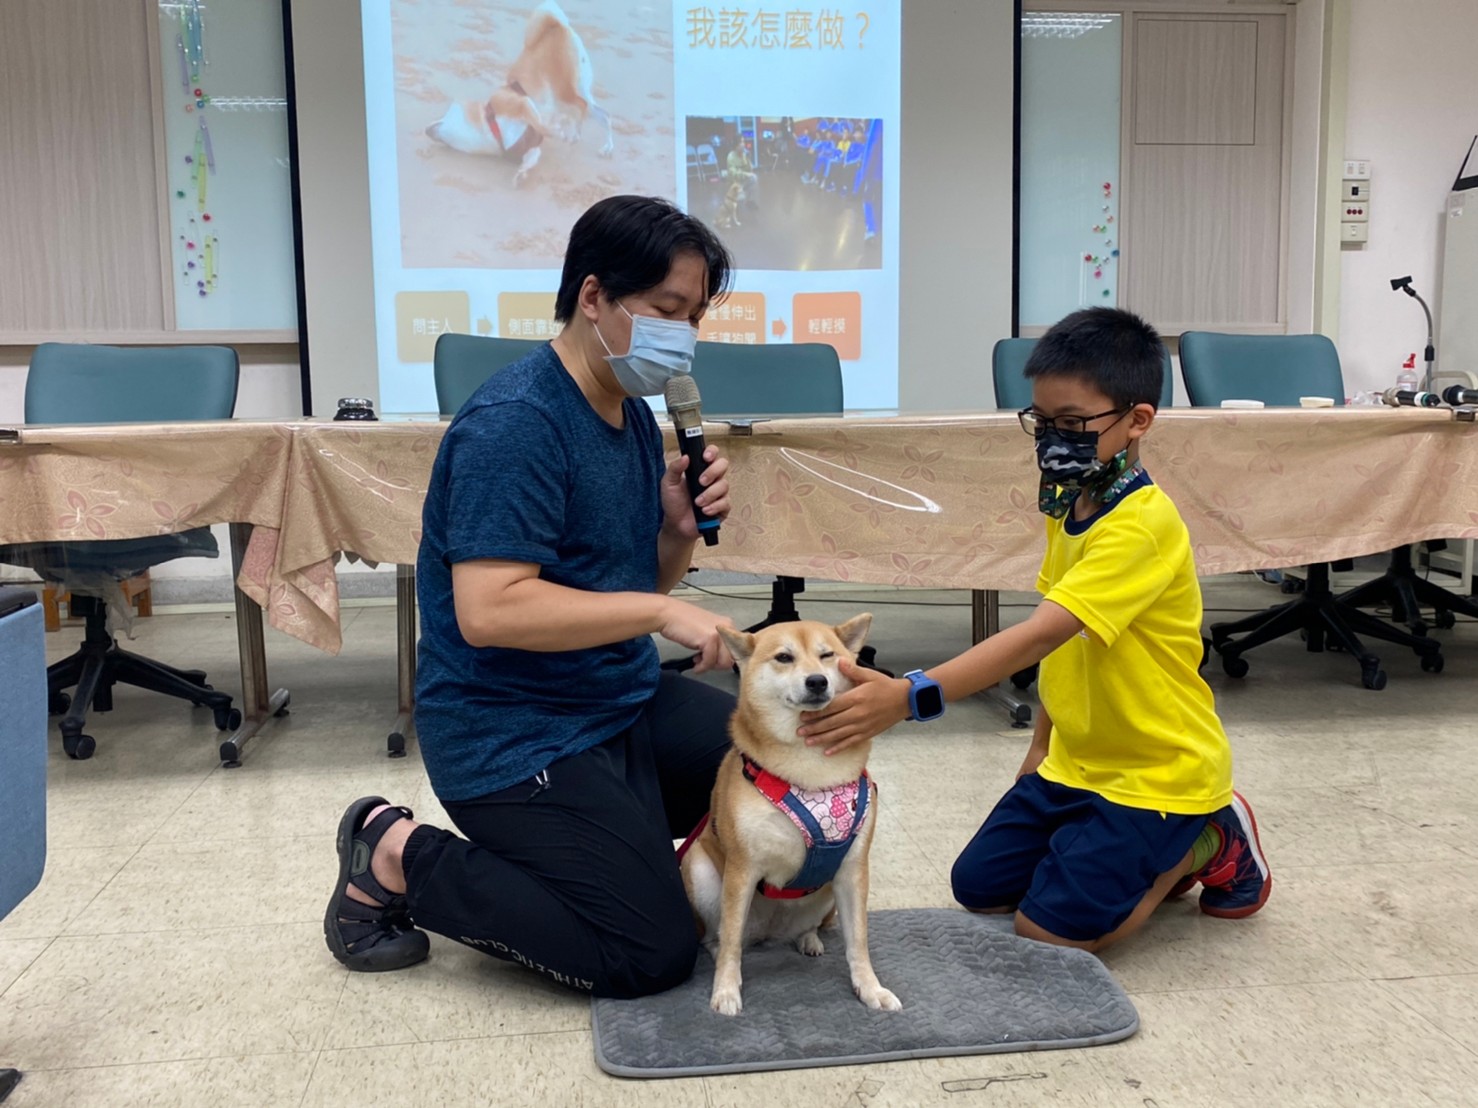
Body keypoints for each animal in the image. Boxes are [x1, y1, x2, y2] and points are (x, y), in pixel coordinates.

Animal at [676, 617, 892, 1016]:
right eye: (783, 657)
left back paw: (808, 940)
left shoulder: (853, 870)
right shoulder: (743, 868)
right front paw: (726, 990)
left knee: (808, 927)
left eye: (827, 655)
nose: (817, 681)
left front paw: (870, 988)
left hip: (826, 896)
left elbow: (858, 941)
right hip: (700, 869)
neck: (811, 771)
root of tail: (769, 932)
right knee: (720, 936)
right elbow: (731, 941)